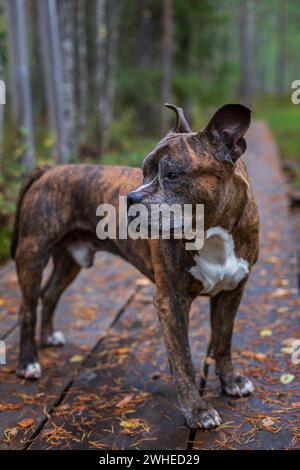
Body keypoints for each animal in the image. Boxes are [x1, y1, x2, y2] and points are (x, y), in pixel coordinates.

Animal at [12, 103, 258, 430]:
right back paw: (28, 362)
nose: (130, 198)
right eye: (143, 172)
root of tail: (49, 169)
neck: (213, 231)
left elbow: (223, 340)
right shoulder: (172, 301)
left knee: (50, 294)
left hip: (69, 259)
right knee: (27, 308)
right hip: (33, 253)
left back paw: (49, 337)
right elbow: (183, 360)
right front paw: (197, 410)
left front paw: (231, 381)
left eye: (173, 174)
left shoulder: (232, 292)